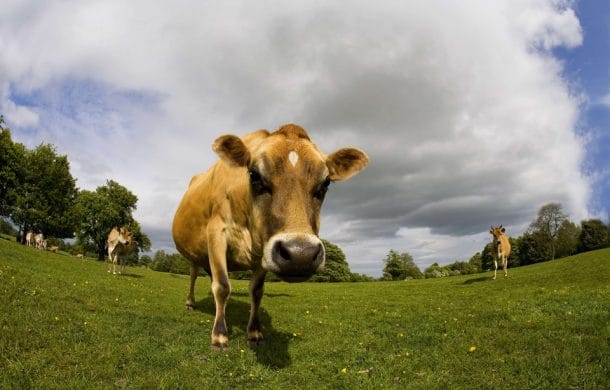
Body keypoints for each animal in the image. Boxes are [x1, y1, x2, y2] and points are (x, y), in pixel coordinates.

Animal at [173, 123, 368, 348]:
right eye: (254, 175)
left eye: (326, 182)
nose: (300, 255)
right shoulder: (216, 231)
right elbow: (222, 286)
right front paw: (219, 335)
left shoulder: (263, 248)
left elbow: (256, 290)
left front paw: (254, 332)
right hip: (194, 255)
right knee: (194, 275)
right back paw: (190, 303)